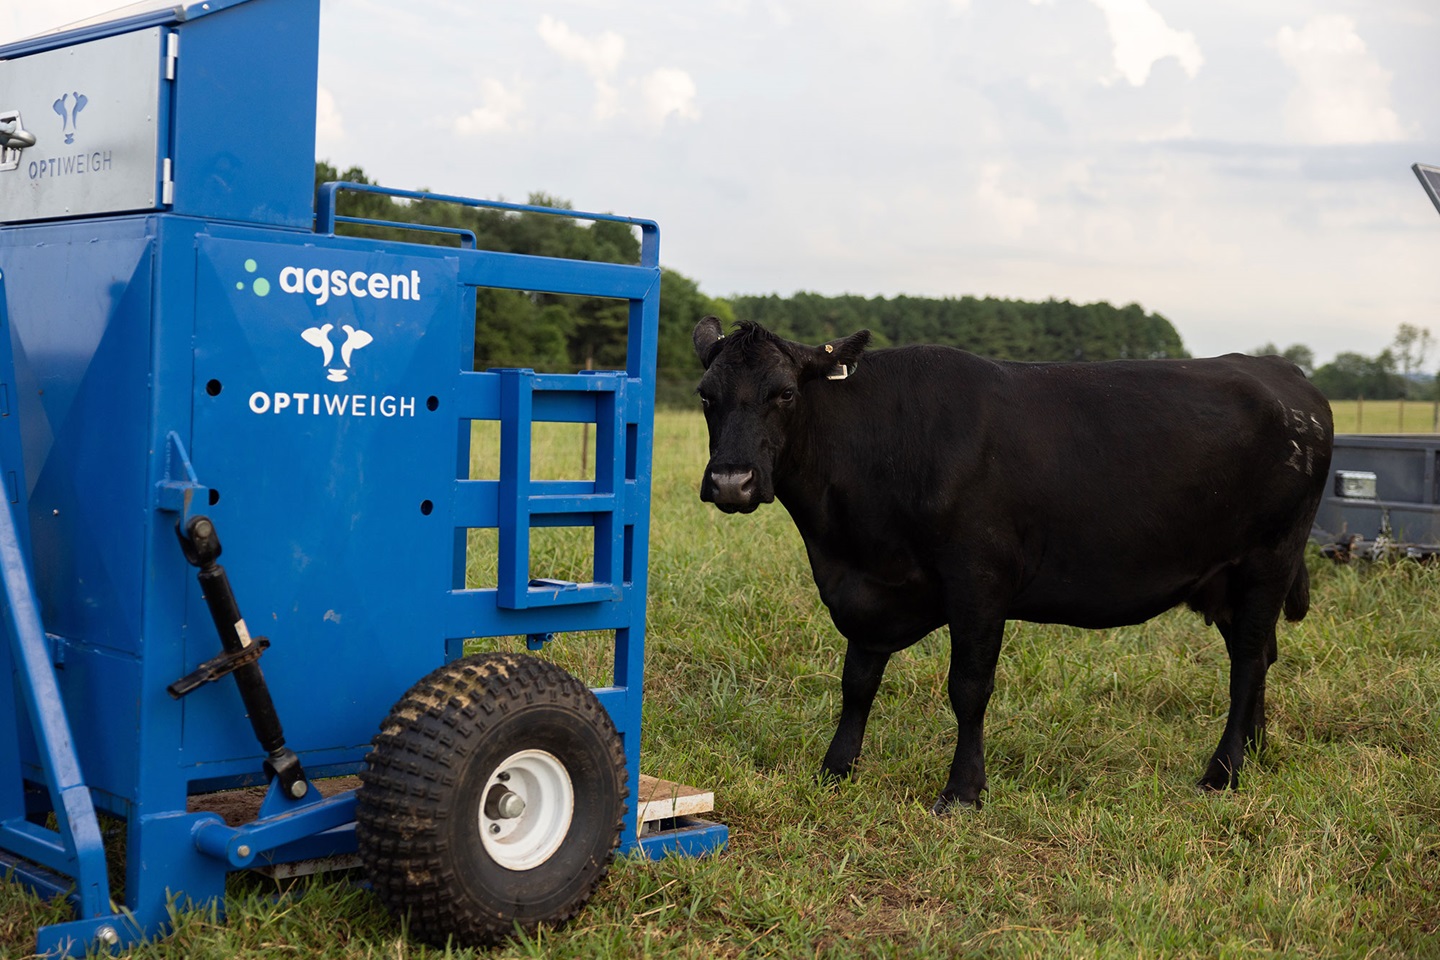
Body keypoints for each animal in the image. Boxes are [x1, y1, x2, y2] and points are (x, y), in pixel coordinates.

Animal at [692, 316, 1333, 814]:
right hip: (1227, 578)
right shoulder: (870, 589)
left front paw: (962, 791)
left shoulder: (978, 580)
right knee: (1261, 655)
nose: (731, 481)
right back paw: (1255, 752)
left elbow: (969, 687)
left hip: (1269, 557)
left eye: (784, 393)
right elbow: (858, 683)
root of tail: (1284, 373)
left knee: (1247, 661)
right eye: (705, 395)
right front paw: (835, 770)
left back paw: (1222, 773)